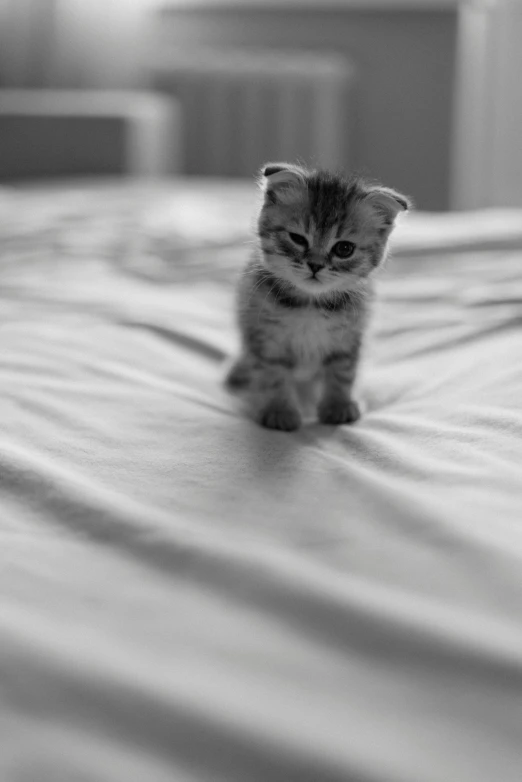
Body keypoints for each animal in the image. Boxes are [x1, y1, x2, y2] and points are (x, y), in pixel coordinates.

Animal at [225, 162, 408, 432]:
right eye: (298, 239)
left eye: (344, 249)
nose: (315, 265)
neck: (310, 304)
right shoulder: (267, 337)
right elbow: (273, 375)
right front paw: (279, 410)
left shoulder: (349, 338)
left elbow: (342, 372)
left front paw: (339, 406)